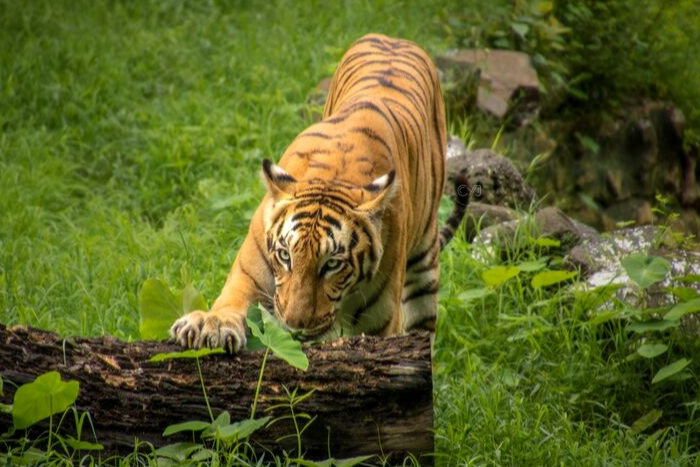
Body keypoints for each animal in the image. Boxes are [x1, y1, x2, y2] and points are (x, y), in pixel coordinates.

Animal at [170, 33, 468, 354]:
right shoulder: (250, 273)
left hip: (424, 265)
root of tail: (393, 38)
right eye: (285, 256)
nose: (294, 325)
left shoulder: (382, 319)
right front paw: (209, 326)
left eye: (332, 264)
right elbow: (231, 300)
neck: (334, 176)